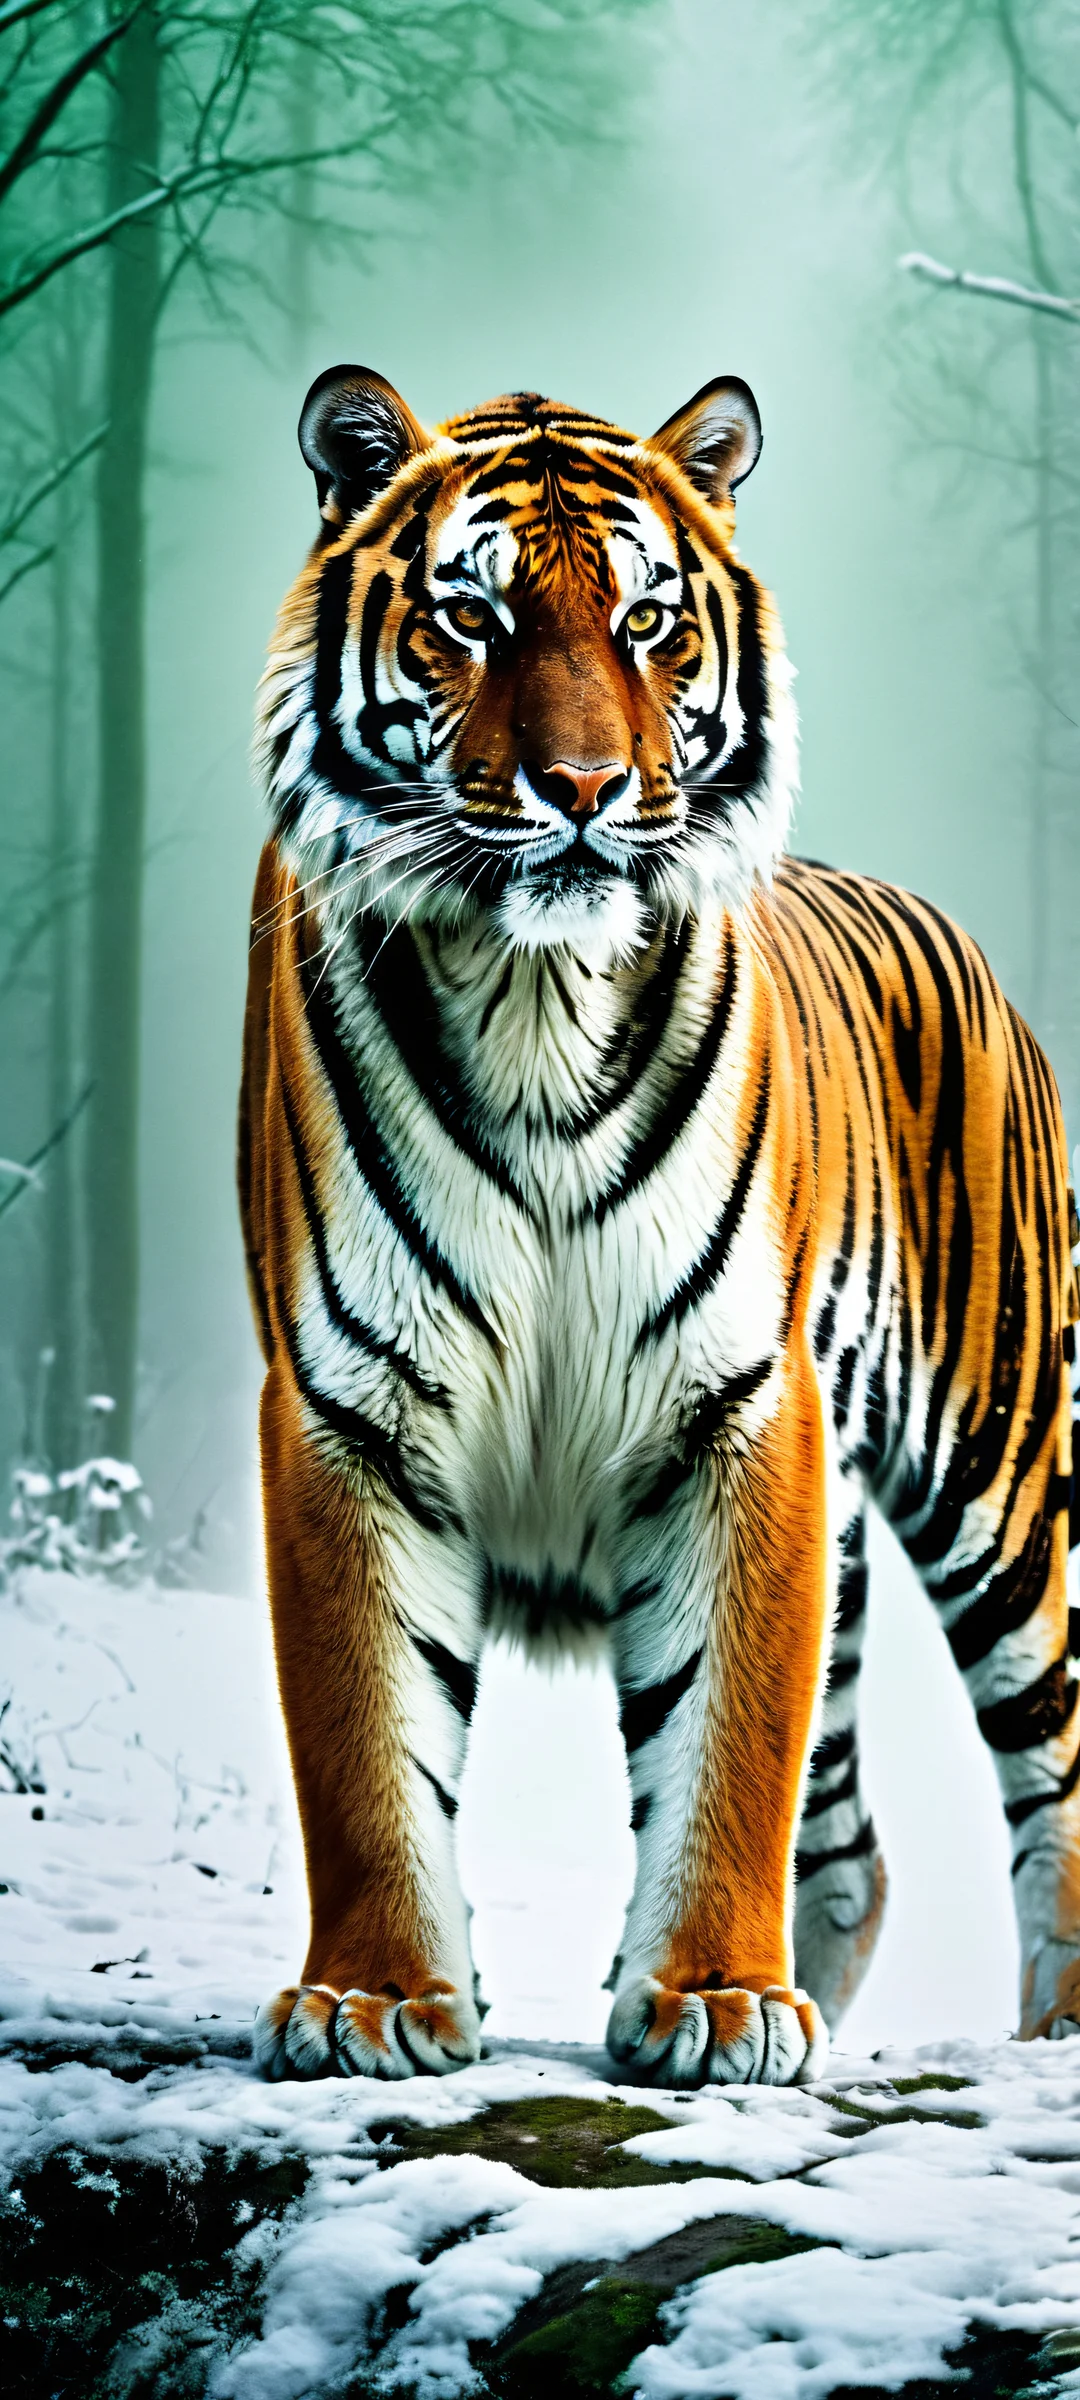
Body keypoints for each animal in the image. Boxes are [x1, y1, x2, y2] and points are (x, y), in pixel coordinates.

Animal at [240, 365, 1080, 2087]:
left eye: (646, 621)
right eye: (472, 616)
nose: (582, 791)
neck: (533, 997)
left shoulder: (741, 1407)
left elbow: (729, 1734)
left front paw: (714, 1995)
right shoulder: (346, 1407)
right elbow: (364, 1735)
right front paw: (374, 2001)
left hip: (999, 1469)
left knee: (1054, 1766)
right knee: (852, 1844)